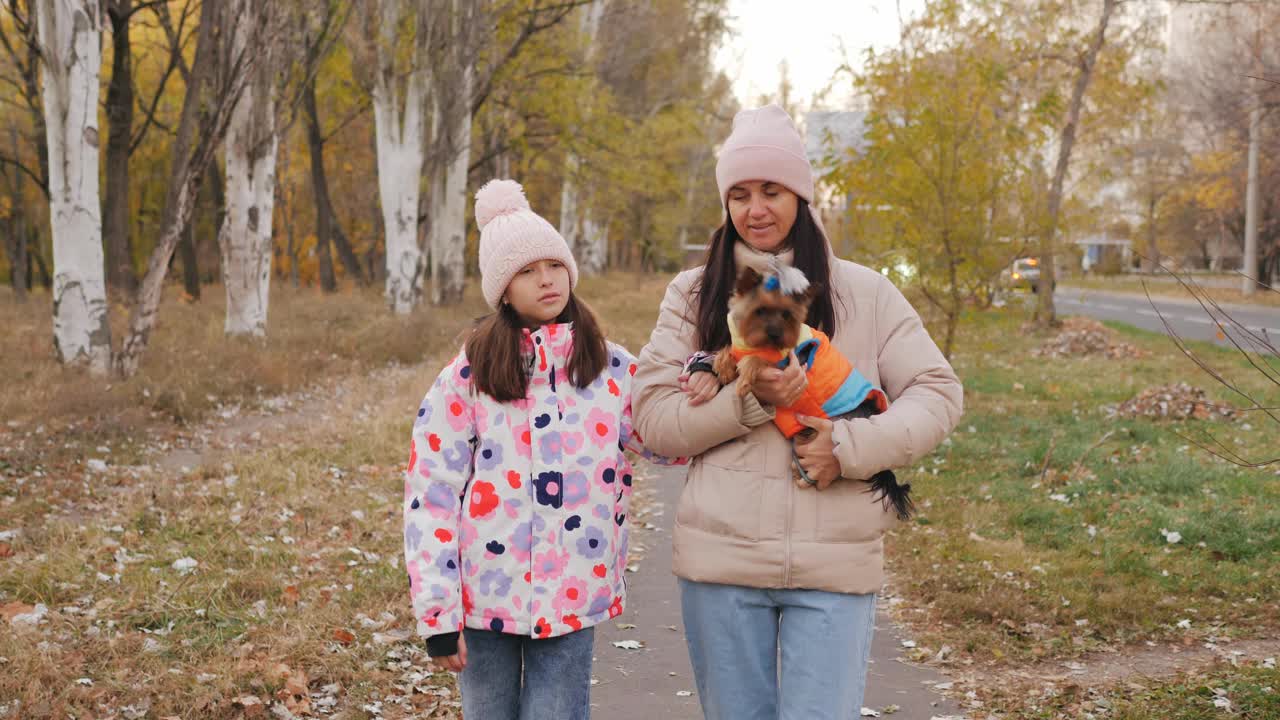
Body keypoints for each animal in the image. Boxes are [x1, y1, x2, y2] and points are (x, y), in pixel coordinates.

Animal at [706, 260, 916, 517]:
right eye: (760, 310)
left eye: (787, 314)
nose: (775, 333)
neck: (759, 343)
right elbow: (732, 353)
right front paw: (723, 364)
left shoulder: (787, 362)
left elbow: (756, 360)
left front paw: (745, 374)